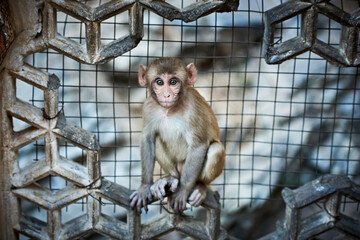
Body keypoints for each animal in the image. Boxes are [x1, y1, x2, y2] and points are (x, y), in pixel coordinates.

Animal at [129, 57, 225, 214]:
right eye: (159, 82)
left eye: (173, 82)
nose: (167, 95)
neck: (169, 110)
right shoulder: (148, 107)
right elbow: (148, 139)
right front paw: (144, 187)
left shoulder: (193, 110)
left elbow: (198, 146)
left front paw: (182, 191)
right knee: (157, 140)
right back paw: (170, 179)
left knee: (215, 149)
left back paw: (200, 186)